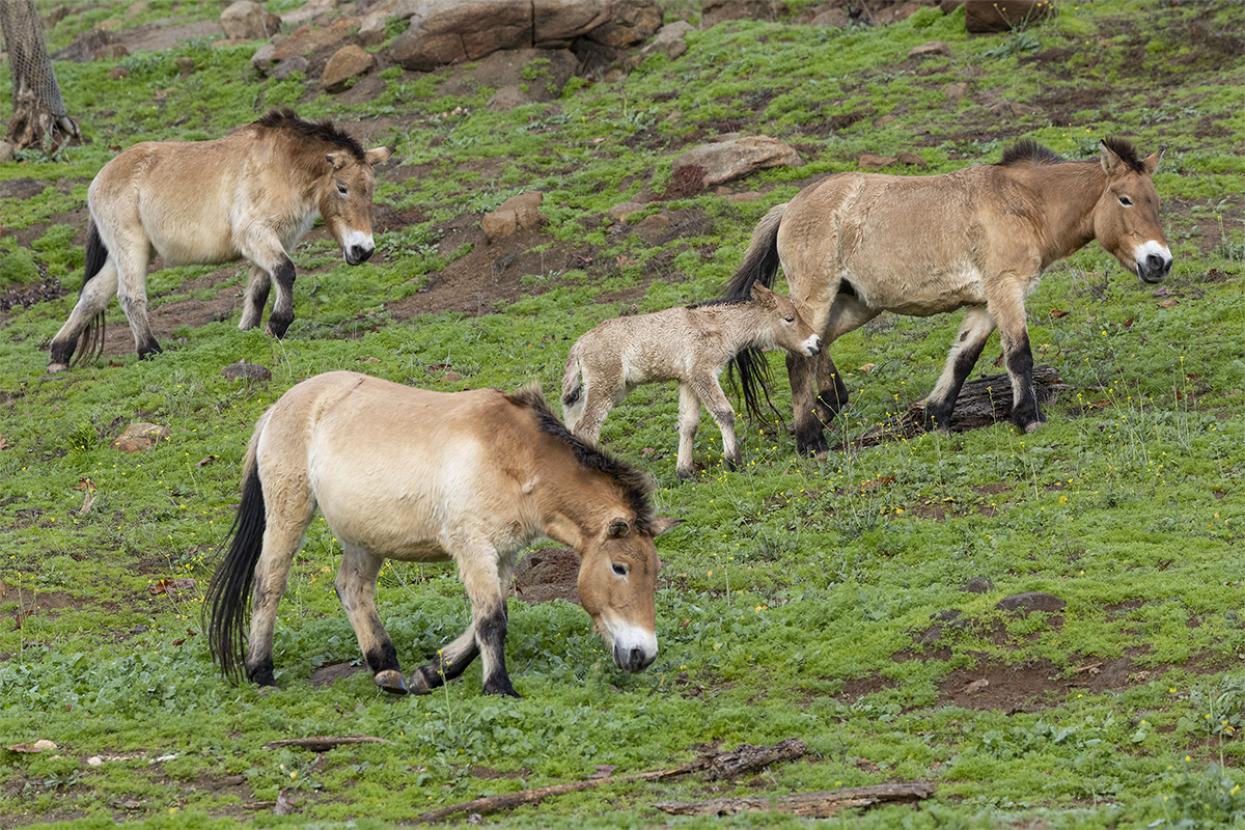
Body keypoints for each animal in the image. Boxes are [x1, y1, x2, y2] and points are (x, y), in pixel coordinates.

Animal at [47, 109, 391, 372]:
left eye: (371, 188)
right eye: (343, 187)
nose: (363, 250)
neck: (281, 165)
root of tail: (99, 179)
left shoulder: (276, 238)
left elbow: (260, 288)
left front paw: (249, 333)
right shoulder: (255, 234)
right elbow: (285, 271)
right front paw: (279, 323)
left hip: (129, 252)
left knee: (93, 293)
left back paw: (59, 355)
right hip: (130, 247)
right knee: (130, 296)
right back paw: (149, 351)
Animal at [205, 372, 676, 698]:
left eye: (654, 572)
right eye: (620, 567)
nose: (644, 655)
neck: (515, 455)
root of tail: (280, 406)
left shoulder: (503, 554)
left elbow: (486, 617)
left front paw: (431, 673)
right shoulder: (473, 546)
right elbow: (492, 619)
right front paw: (498, 687)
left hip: (365, 538)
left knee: (352, 589)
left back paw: (386, 668)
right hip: (289, 513)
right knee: (269, 583)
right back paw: (261, 671)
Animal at [562, 282, 821, 479]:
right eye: (789, 318)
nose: (816, 343)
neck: (719, 326)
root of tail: (580, 344)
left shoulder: (687, 380)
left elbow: (688, 424)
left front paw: (685, 471)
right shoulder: (702, 372)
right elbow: (724, 412)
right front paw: (734, 461)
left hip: (610, 389)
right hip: (606, 386)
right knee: (586, 428)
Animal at [725, 138, 1172, 455]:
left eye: (1156, 201)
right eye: (1125, 199)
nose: (1159, 262)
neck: (1025, 204)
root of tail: (790, 206)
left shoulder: (984, 302)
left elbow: (962, 358)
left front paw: (935, 417)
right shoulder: (1006, 288)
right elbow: (1019, 355)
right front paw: (1028, 418)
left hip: (856, 304)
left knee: (818, 343)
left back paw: (830, 404)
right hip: (817, 294)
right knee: (796, 357)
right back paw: (810, 440)